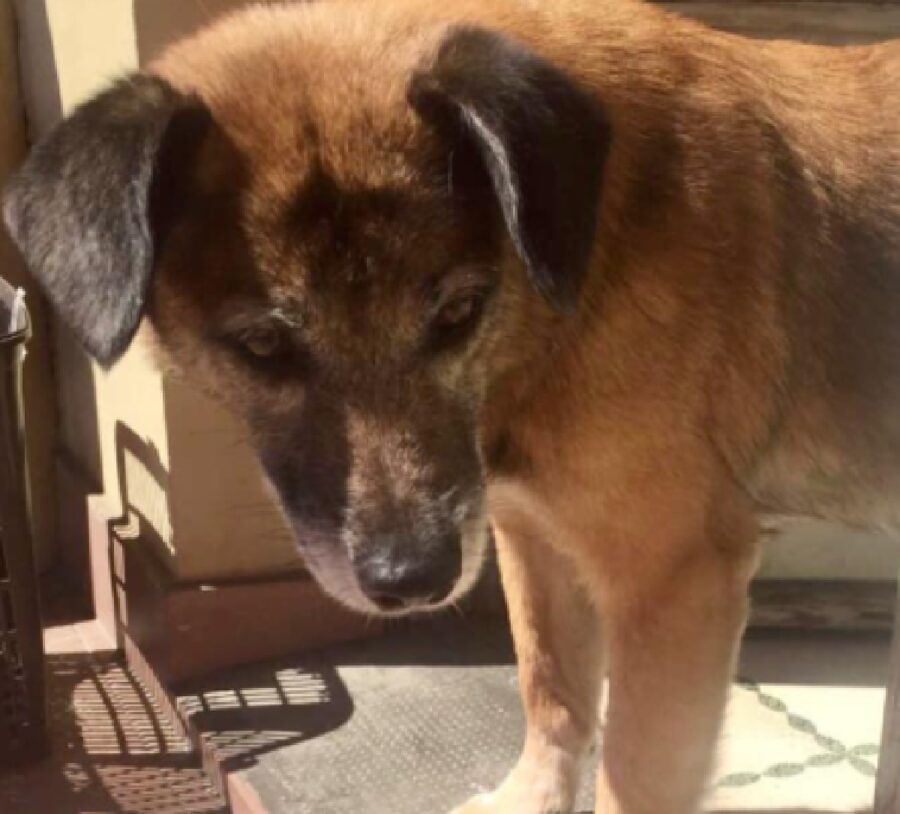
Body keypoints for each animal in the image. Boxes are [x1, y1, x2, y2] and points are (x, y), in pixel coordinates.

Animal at [1, 1, 900, 814]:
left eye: (458, 313)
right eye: (261, 345)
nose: (413, 582)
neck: (575, 257)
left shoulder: (672, 579)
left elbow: (631, 777)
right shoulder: (529, 532)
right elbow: (553, 692)